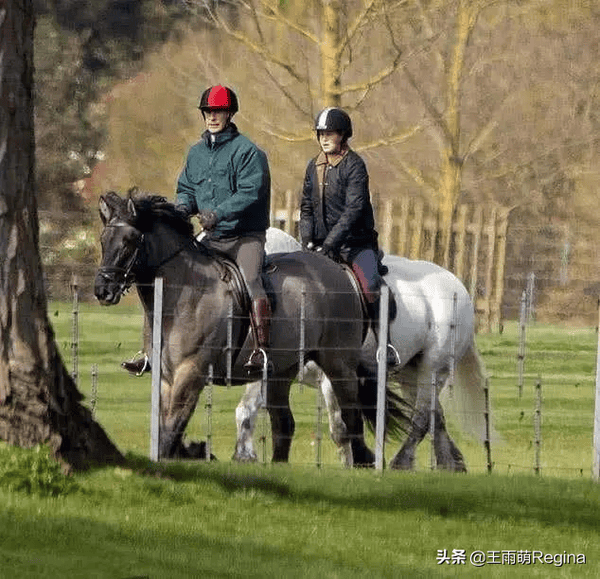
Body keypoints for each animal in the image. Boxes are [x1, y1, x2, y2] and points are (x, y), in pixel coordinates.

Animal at [94, 193, 378, 464]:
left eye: (129, 241)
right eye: (103, 240)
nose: (102, 291)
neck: (183, 294)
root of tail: (339, 271)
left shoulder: (191, 372)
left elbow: (172, 430)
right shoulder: (166, 377)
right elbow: (167, 429)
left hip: (338, 364)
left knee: (351, 419)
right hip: (279, 373)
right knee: (284, 425)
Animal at [232, 227, 490, 472]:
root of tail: (458, 287)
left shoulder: (333, 375)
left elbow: (341, 427)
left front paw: (356, 463)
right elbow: (247, 408)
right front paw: (243, 455)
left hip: (434, 368)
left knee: (422, 415)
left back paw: (402, 462)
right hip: (411, 372)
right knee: (436, 416)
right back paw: (451, 463)